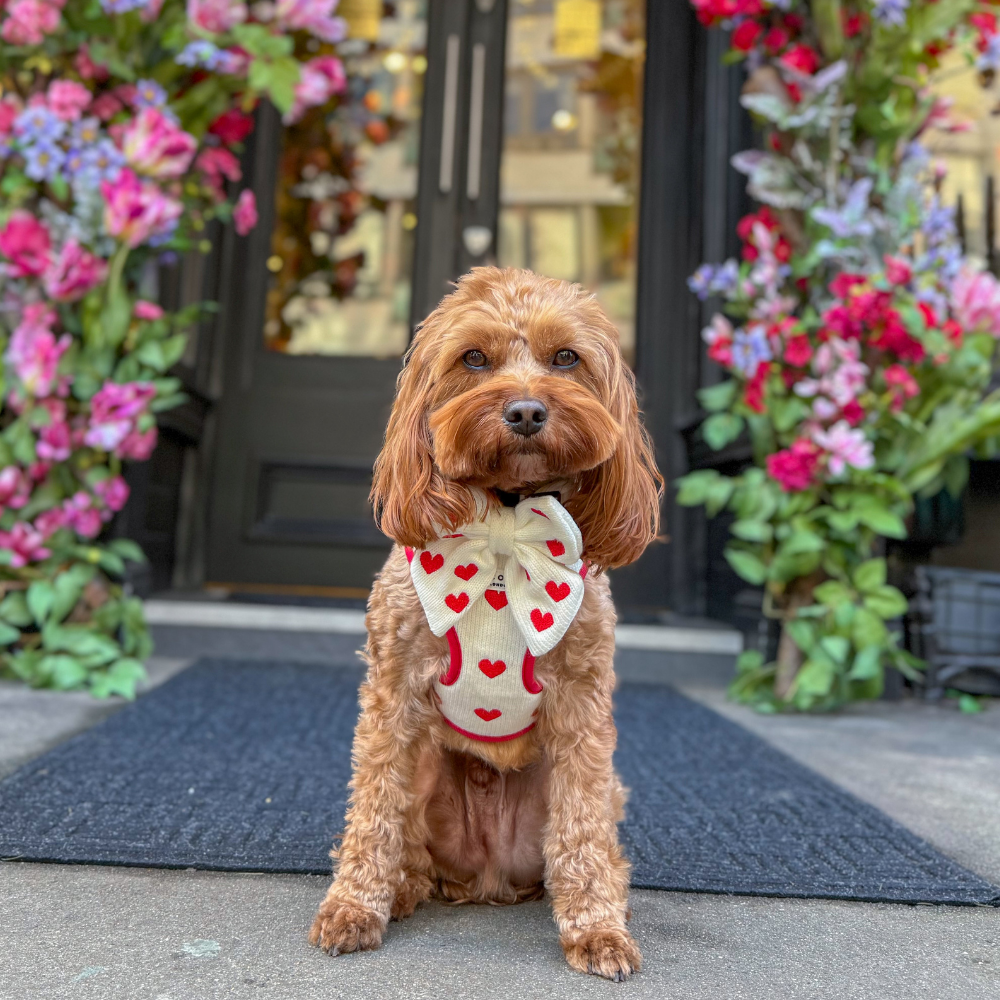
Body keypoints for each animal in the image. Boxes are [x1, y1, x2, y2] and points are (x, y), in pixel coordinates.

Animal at [308, 266, 660, 976]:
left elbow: (581, 831)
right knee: (408, 844)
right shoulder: (392, 692)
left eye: (566, 358)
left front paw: (597, 929)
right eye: (473, 358)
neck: (504, 527)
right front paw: (354, 905)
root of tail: (487, 879)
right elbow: (375, 809)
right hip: (427, 767)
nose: (525, 411)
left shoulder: (582, 706)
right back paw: (401, 890)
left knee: (590, 845)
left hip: (589, 790)